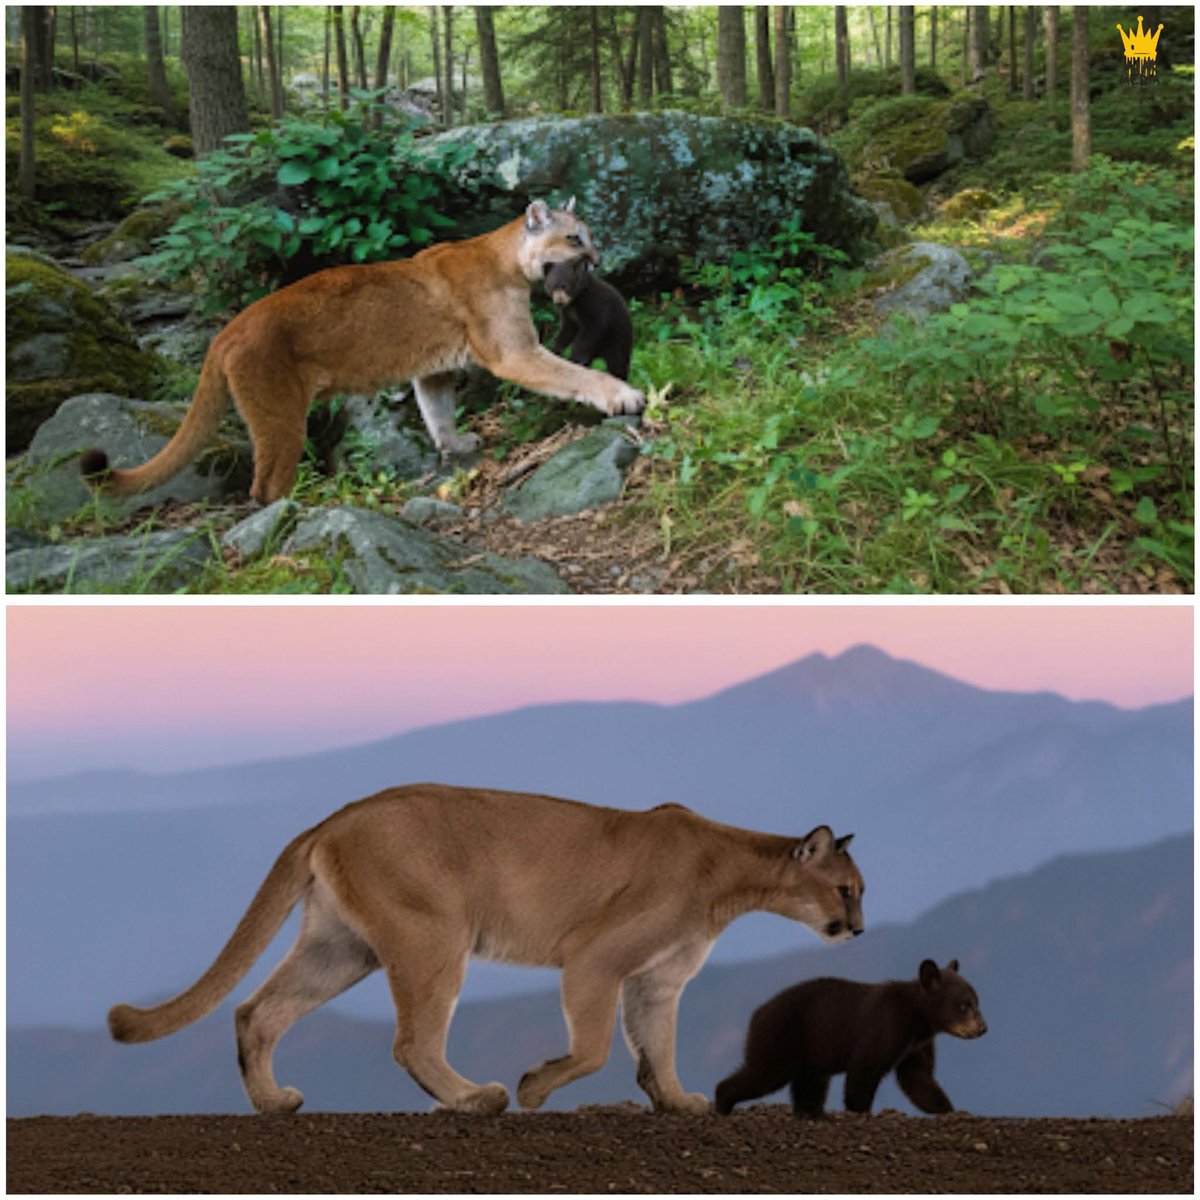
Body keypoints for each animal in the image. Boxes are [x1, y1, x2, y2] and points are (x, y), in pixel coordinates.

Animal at [714, 959, 986, 1118]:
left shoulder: (916, 1044)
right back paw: (723, 1103)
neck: (915, 1016)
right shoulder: (884, 1026)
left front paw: (950, 1110)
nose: (983, 1028)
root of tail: (757, 1014)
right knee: (764, 1073)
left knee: (810, 1083)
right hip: (781, 1035)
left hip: (810, 1050)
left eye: (976, 1002)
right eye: (964, 1005)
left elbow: (917, 1078)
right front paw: (860, 1111)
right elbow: (864, 1070)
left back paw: (813, 1114)